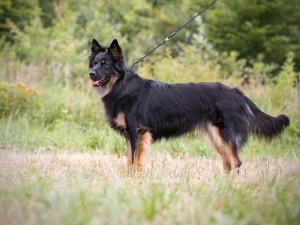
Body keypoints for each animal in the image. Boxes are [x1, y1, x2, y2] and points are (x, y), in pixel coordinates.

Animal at [88, 38, 290, 172]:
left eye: (105, 64)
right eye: (94, 63)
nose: (91, 73)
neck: (122, 86)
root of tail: (236, 92)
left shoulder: (136, 132)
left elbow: (132, 161)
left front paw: (133, 179)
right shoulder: (132, 134)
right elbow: (128, 160)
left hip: (225, 134)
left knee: (236, 162)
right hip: (216, 136)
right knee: (227, 162)